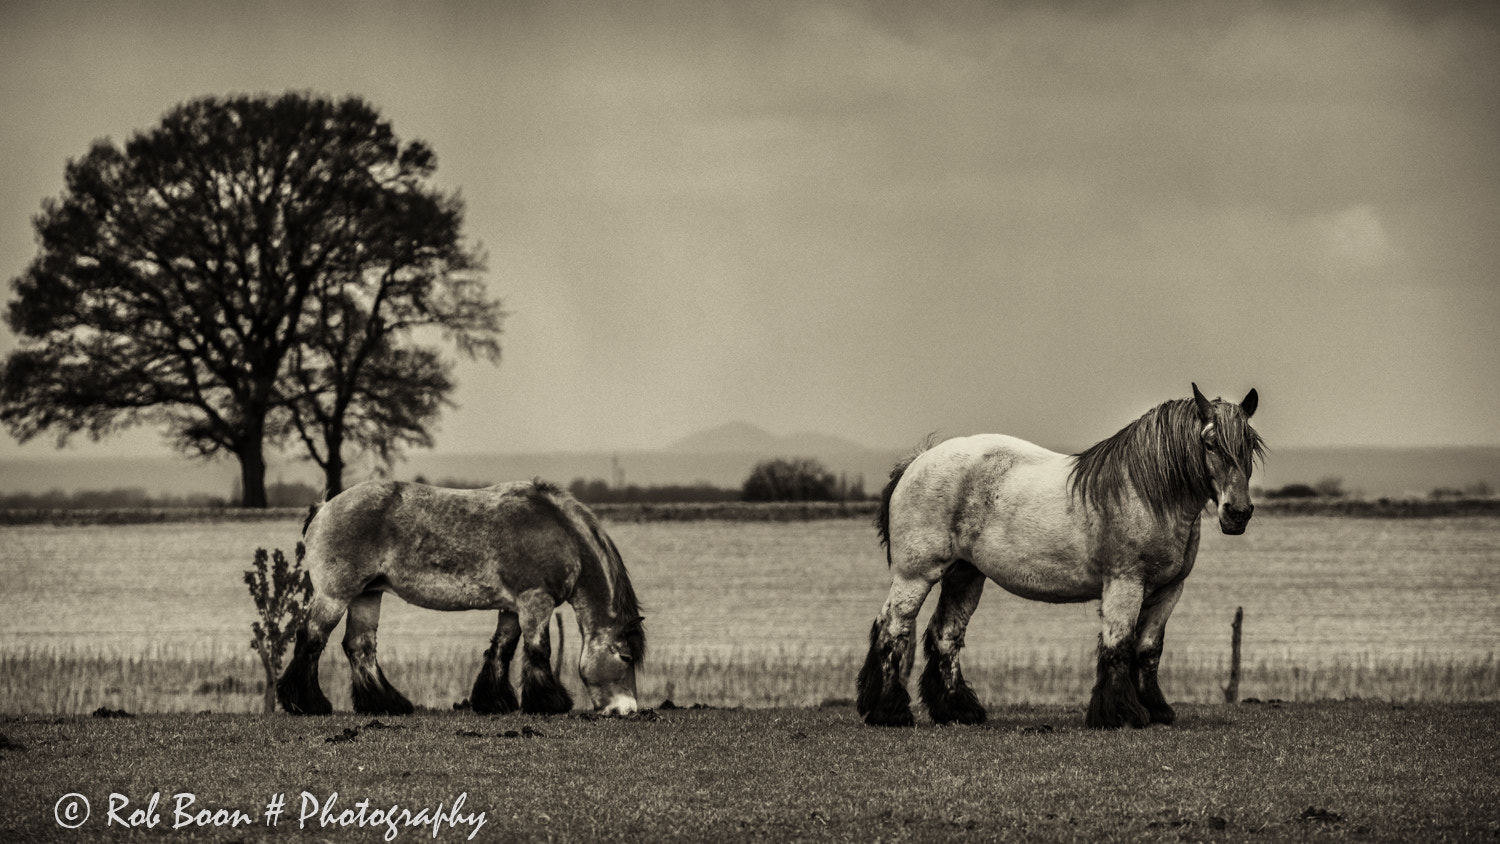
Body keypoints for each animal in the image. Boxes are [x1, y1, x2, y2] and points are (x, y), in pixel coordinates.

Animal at [279, 482, 642, 719]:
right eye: (625, 658)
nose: (627, 710)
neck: (557, 531)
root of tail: (324, 508)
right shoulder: (535, 601)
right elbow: (539, 651)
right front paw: (548, 703)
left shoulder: (513, 607)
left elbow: (502, 649)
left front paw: (495, 703)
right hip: (336, 596)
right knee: (312, 640)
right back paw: (308, 705)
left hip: (367, 596)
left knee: (360, 647)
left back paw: (386, 705)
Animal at [858, 386, 1266, 728]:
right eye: (1210, 443)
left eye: (1250, 444)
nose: (1238, 513)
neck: (1145, 495)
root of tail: (918, 461)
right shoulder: (1125, 584)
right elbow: (1119, 644)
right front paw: (1121, 714)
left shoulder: (1169, 590)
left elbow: (1149, 650)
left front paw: (1157, 710)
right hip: (917, 575)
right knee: (893, 630)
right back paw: (890, 712)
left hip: (965, 576)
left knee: (945, 636)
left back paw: (958, 710)